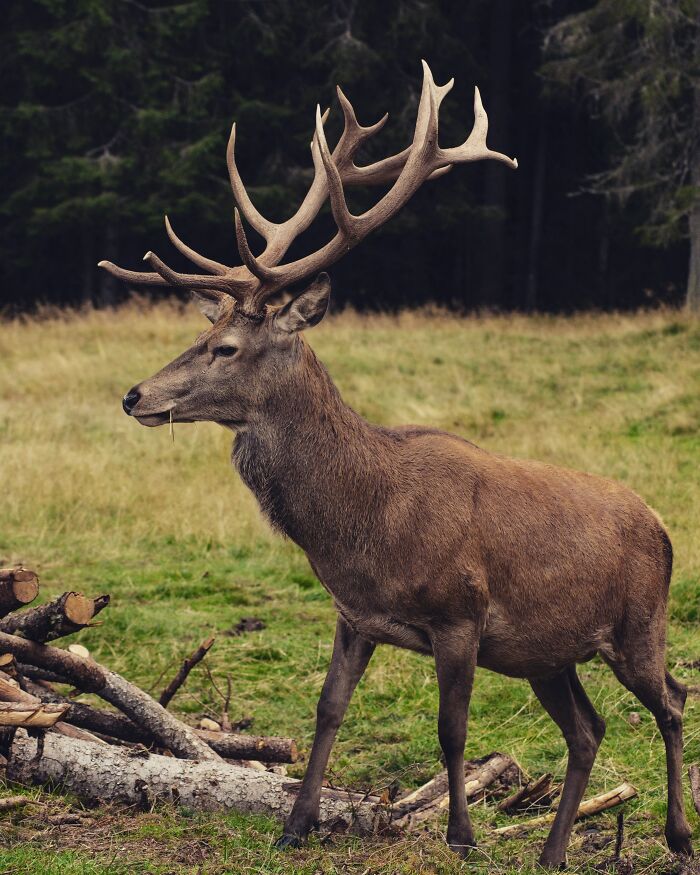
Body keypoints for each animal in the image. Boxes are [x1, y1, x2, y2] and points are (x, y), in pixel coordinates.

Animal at [100, 62, 694, 867]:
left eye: (226, 347)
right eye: (202, 334)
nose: (135, 394)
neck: (365, 522)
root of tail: (662, 525)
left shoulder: (460, 614)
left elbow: (453, 730)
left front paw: (462, 836)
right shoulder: (354, 614)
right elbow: (327, 710)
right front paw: (294, 825)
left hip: (638, 624)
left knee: (673, 699)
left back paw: (678, 834)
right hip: (549, 654)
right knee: (589, 727)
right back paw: (552, 851)